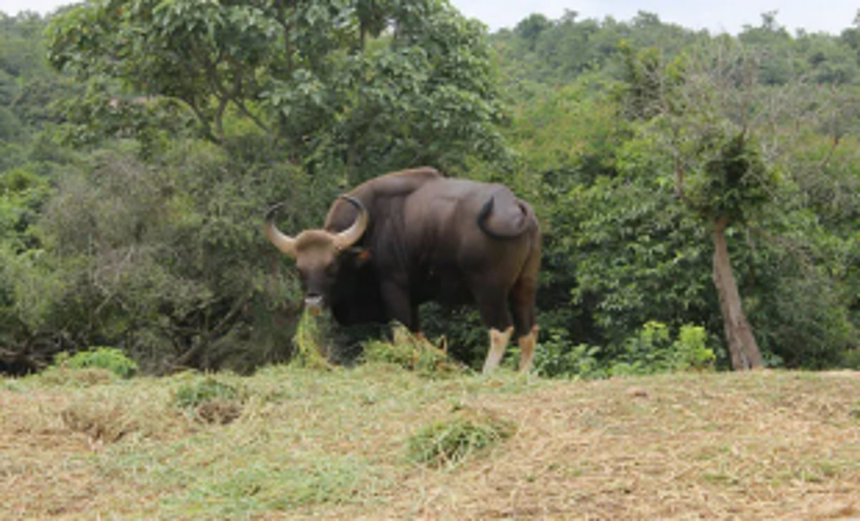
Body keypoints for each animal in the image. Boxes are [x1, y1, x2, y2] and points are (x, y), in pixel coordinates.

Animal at [265, 167, 541, 372]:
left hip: (488, 289)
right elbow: (417, 334)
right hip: (525, 285)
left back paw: (487, 373)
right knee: (528, 330)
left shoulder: (394, 288)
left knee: (501, 329)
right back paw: (522, 374)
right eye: (300, 269)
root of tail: (516, 206)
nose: (313, 301)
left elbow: (402, 333)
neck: (371, 228)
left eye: (331, 266)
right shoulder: (413, 301)